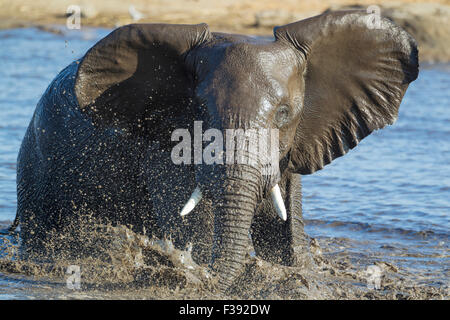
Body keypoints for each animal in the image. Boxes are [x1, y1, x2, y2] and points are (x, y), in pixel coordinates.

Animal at [13, 10, 418, 292]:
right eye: (201, 110)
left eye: (284, 113)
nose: (204, 281)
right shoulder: (162, 143)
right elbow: (192, 220)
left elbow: (283, 226)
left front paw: (294, 275)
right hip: (36, 166)